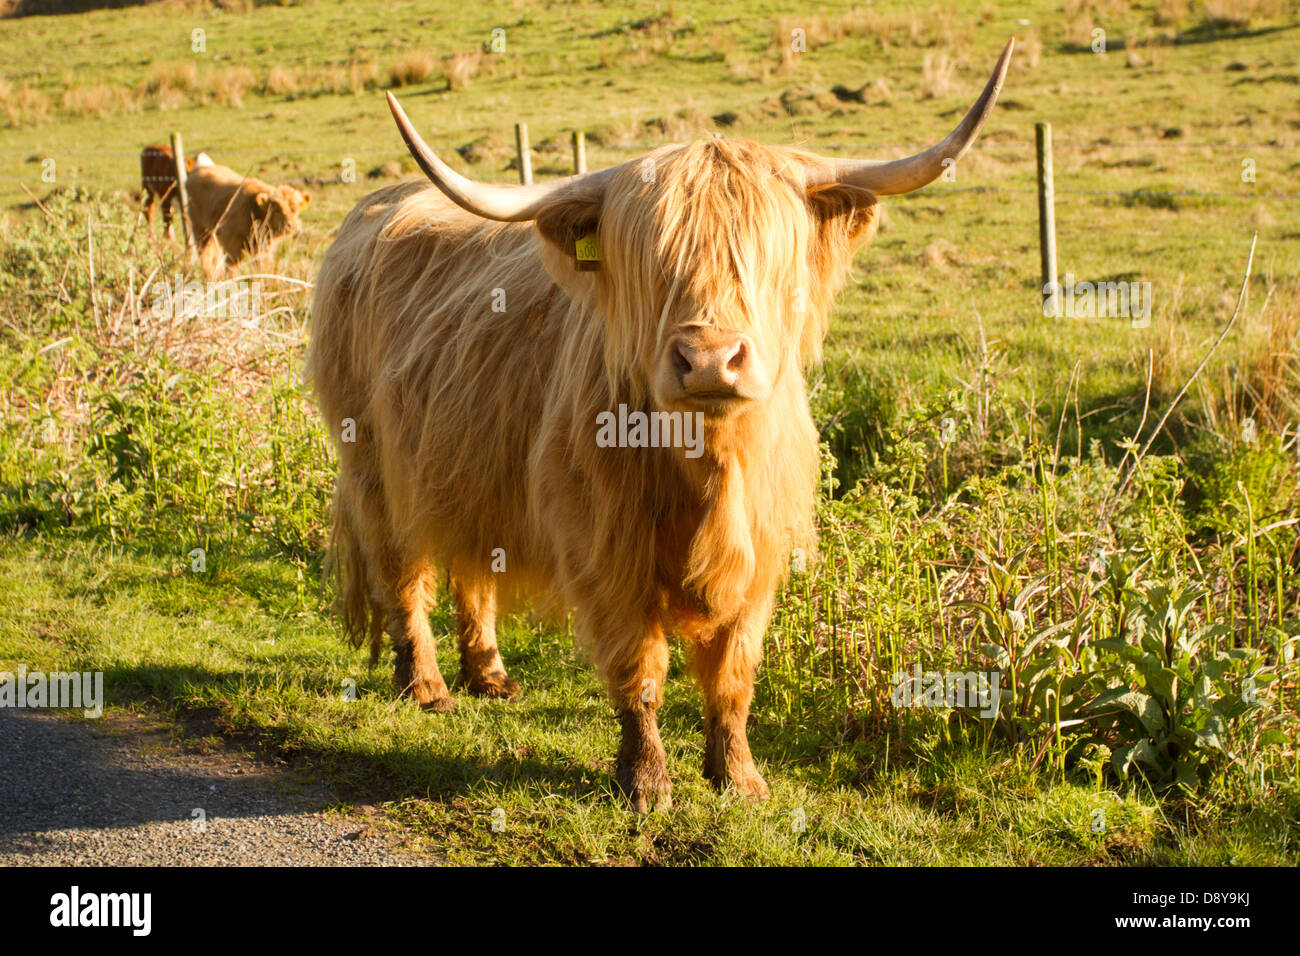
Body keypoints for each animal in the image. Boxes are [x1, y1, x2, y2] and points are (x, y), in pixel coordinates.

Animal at [183, 161, 311, 276]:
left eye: (296, 209)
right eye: (276, 209)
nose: (292, 225)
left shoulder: (263, 248)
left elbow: (262, 266)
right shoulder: (231, 242)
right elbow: (232, 267)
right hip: (200, 228)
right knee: (204, 253)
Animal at [308, 41, 1013, 811]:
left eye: (767, 254)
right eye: (650, 260)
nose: (709, 358)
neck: (709, 466)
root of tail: (379, 204)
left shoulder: (761, 552)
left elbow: (733, 671)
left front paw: (740, 778)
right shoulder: (606, 547)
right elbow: (639, 666)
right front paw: (645, 783)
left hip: (467, 464)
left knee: (474, 561)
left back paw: (488, 673)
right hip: (373, 464)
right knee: (403, 570)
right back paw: (427, 685)